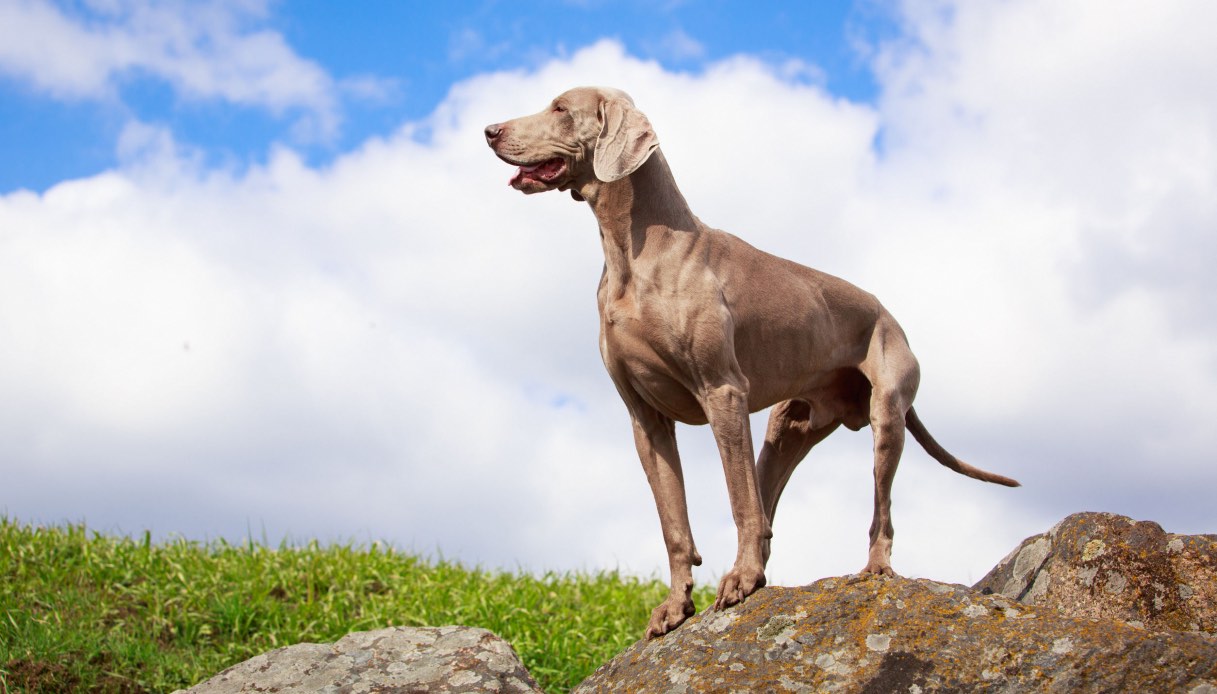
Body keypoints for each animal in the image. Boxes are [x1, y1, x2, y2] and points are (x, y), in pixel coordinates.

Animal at [484, 86, 1017, 637]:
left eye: (560, 109)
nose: (490, 131)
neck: (633, 252)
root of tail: (888, 314)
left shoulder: (723, 393)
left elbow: (737, 502)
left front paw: (737, 582)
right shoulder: (645, 419)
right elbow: (674, 524)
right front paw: (675, 606)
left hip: (886, 412)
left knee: (873, 510)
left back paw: (871, 569)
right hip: (787, 430)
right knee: (767, 511)